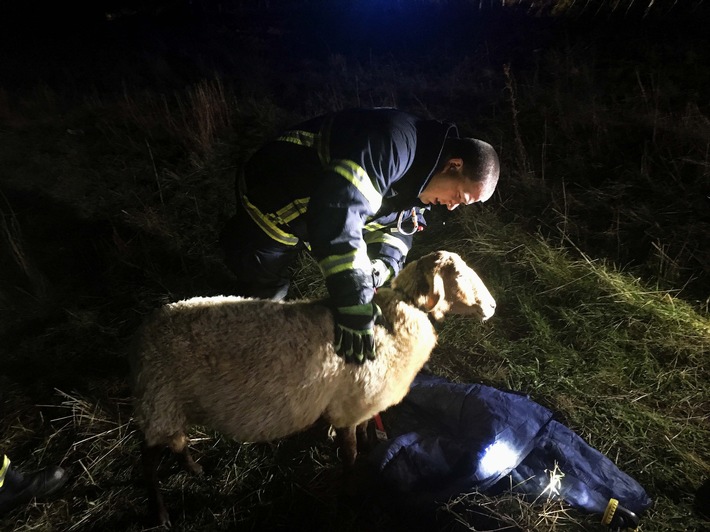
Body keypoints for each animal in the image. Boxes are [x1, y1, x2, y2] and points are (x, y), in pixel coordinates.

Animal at [131, 249, 496, 524]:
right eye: (459, 275)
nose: (493, 307)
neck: (398, 317)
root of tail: (149, 327)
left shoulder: (362, 397)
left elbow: (364, 430)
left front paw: (368, 444)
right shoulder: (350, 405)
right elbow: (349, 452)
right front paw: (349, 490)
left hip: (173, 403)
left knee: (177, 440)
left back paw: (194, 469)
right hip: (161, 399)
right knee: (148, 457)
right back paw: (160, 512)